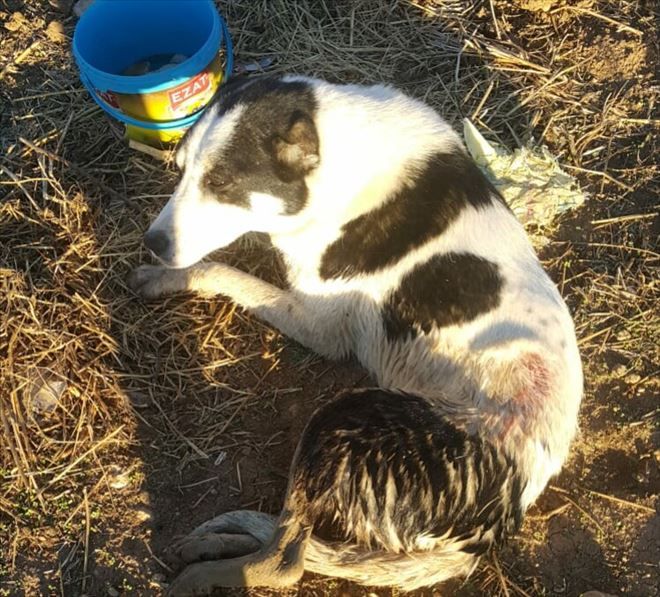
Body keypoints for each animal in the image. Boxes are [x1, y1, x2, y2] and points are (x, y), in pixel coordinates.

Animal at [129, 75, 583, 595]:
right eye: (180, 170)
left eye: (220, 183)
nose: (151, 243)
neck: (334, 159)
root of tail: (493, 529)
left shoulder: (317, 323)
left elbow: (221, 271)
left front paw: (167, 278)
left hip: (342, 419)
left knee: (286, 561)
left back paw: (203, 572)